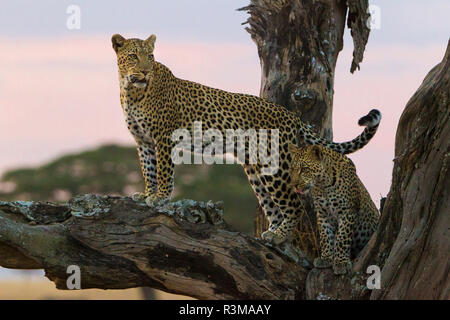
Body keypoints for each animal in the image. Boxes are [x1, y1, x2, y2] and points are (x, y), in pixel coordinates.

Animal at [111, 33, 380, 245]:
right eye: (133, 56)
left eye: (150, 57)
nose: (145, 71)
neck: (131, 90)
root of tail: (291, 115)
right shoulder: (144, 141)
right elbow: (148, 169)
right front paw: (146, 194)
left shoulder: (163, 137)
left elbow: (164, 171)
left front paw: (160, 197)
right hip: (256, 169)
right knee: (275, 208)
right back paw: (271, 234)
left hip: (276, 166)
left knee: (295, 205)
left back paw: (279, 236)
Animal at [288, 144, 380, 274]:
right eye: (292, 169)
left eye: (304, 169)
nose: (294, 185)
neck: (323, 185)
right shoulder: (323, 213)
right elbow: (325, 236)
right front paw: (326, 259)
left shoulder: (347, 211)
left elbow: (342, 237)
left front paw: (341, 263)